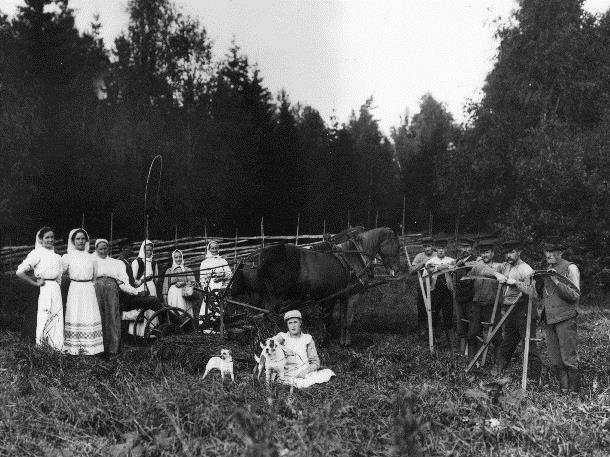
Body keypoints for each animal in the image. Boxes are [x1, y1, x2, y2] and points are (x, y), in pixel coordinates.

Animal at [227, 226, 400, 344]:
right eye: (397, 246)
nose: (397, 270)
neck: (353, 258)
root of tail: (252, 258)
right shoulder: (353, 295)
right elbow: (347, 320)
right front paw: (341, 343)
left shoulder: (342, 295)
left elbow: (341, 320)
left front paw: (339, 341)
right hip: (273, 299)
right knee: (266, 318)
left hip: (259, 297)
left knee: (256, 317)